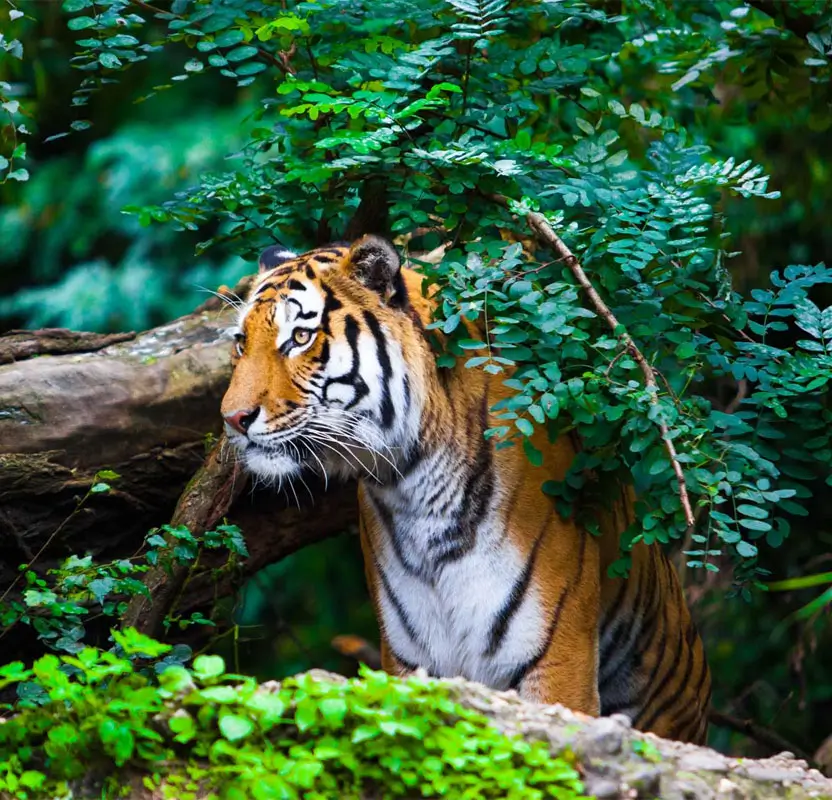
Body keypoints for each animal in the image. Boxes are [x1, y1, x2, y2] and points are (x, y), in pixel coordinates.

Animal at [220, 234, 712, 744]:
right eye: (241, 342)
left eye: (300, 338)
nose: (232, 418)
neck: (413, 487)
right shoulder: (411, 659)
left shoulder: (557, 659)